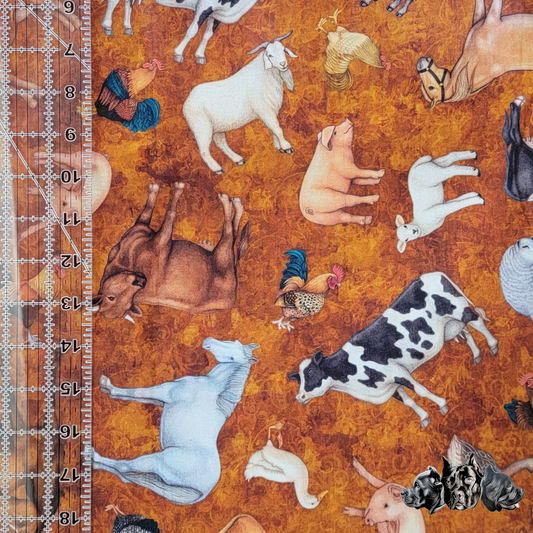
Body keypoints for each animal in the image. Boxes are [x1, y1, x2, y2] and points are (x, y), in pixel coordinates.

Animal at [287, 272, 499, 428]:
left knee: (477, 321)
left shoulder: (397, 371)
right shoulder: (390, 386)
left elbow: (421, 391)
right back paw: (477, 355)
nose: (299, 397)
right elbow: (409, 402)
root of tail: (429, 275)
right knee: (467, 332)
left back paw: (493, 345)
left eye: (311, 371)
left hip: (459, 309)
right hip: (450, 325)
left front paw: (442, 405)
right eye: (297, 379)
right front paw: (424, 418)